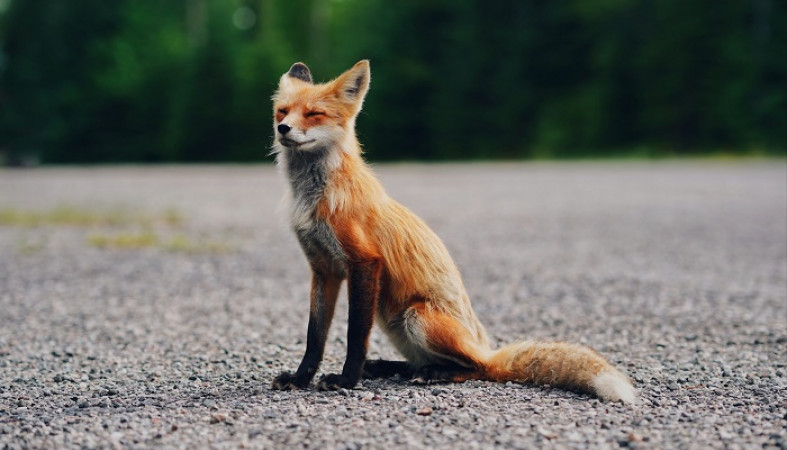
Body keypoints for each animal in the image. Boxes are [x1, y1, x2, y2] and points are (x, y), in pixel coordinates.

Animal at [268, 60, 636, 404]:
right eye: (282, 111)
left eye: (314, 114)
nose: (283, 128)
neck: (315, 198)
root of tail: (485, 346)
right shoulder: (324, 269)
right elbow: (315, 336)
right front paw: (301, 378)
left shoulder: (364, 262)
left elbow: (355, 335)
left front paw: (346, 380)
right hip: (391, 319)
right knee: (422, 363)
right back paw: (392, 368)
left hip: (416, 317)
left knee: (477, 368)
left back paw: (434, 373)